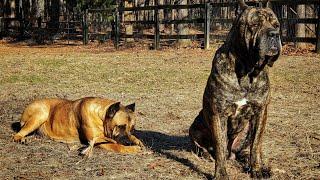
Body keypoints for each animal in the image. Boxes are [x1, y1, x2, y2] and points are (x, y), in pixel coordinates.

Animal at [13, 97, 144, 156]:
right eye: (120, 126)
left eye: (132, 129)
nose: (128, 141)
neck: (102, 115)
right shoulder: (96, 140)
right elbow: (117, 146)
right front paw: (133, 149)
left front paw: (137, 141)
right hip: (41, 113)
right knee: (16, 135)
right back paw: (22, 139)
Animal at [189, 0, 282, 179]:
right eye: (255, 24)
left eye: (277, 25)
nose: (275, 34)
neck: (247, 71)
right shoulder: (219, 114)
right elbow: (220, 147)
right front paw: (221, 174)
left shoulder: (261, 112)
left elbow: (256, 145)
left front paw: (256, 169)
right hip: (195, 128)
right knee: (205, 147)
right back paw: (207, 155)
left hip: (245, 133)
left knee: (247, 148)